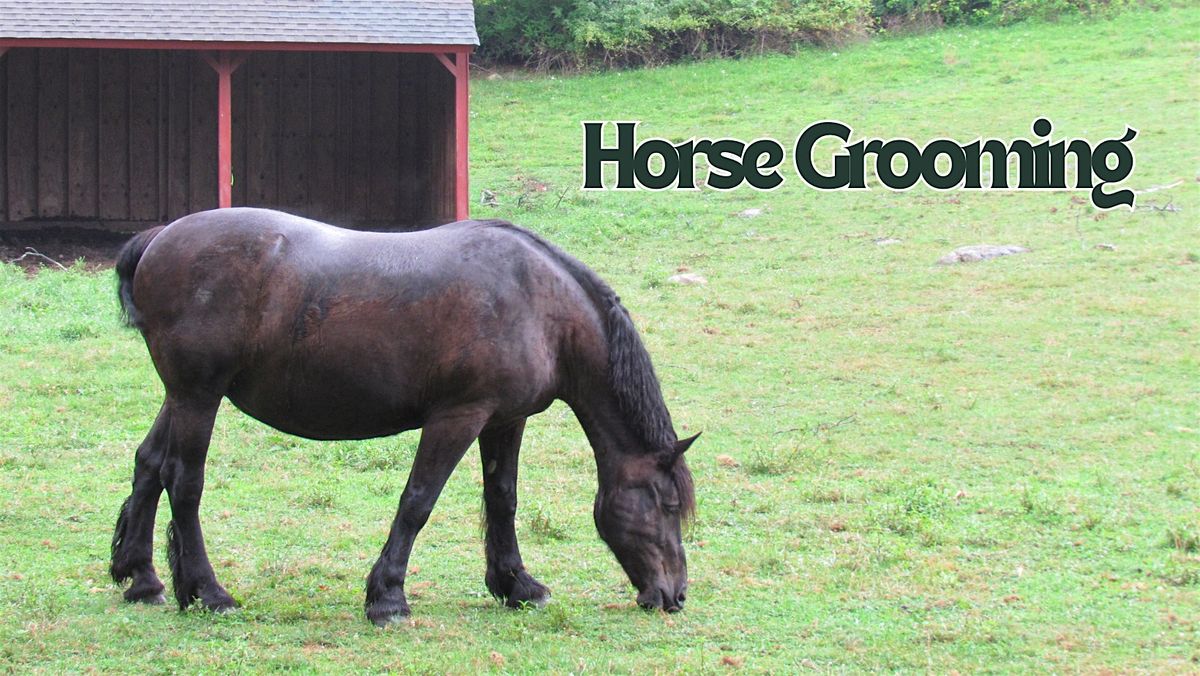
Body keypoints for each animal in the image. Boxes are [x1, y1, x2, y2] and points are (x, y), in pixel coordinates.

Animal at [108, 207, 697, 625]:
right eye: (667, 505)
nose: (674, 595)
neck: (538, 302)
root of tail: (158, 238)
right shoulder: (458, 416)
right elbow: (418, 501)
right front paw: (387, 597)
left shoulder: (505, 420)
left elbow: (501, 500)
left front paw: (517, 585)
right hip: (198, 397)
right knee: (183, 482)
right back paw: (210, 593)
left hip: (185, 396)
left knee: (149, 465)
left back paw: (143, 580)